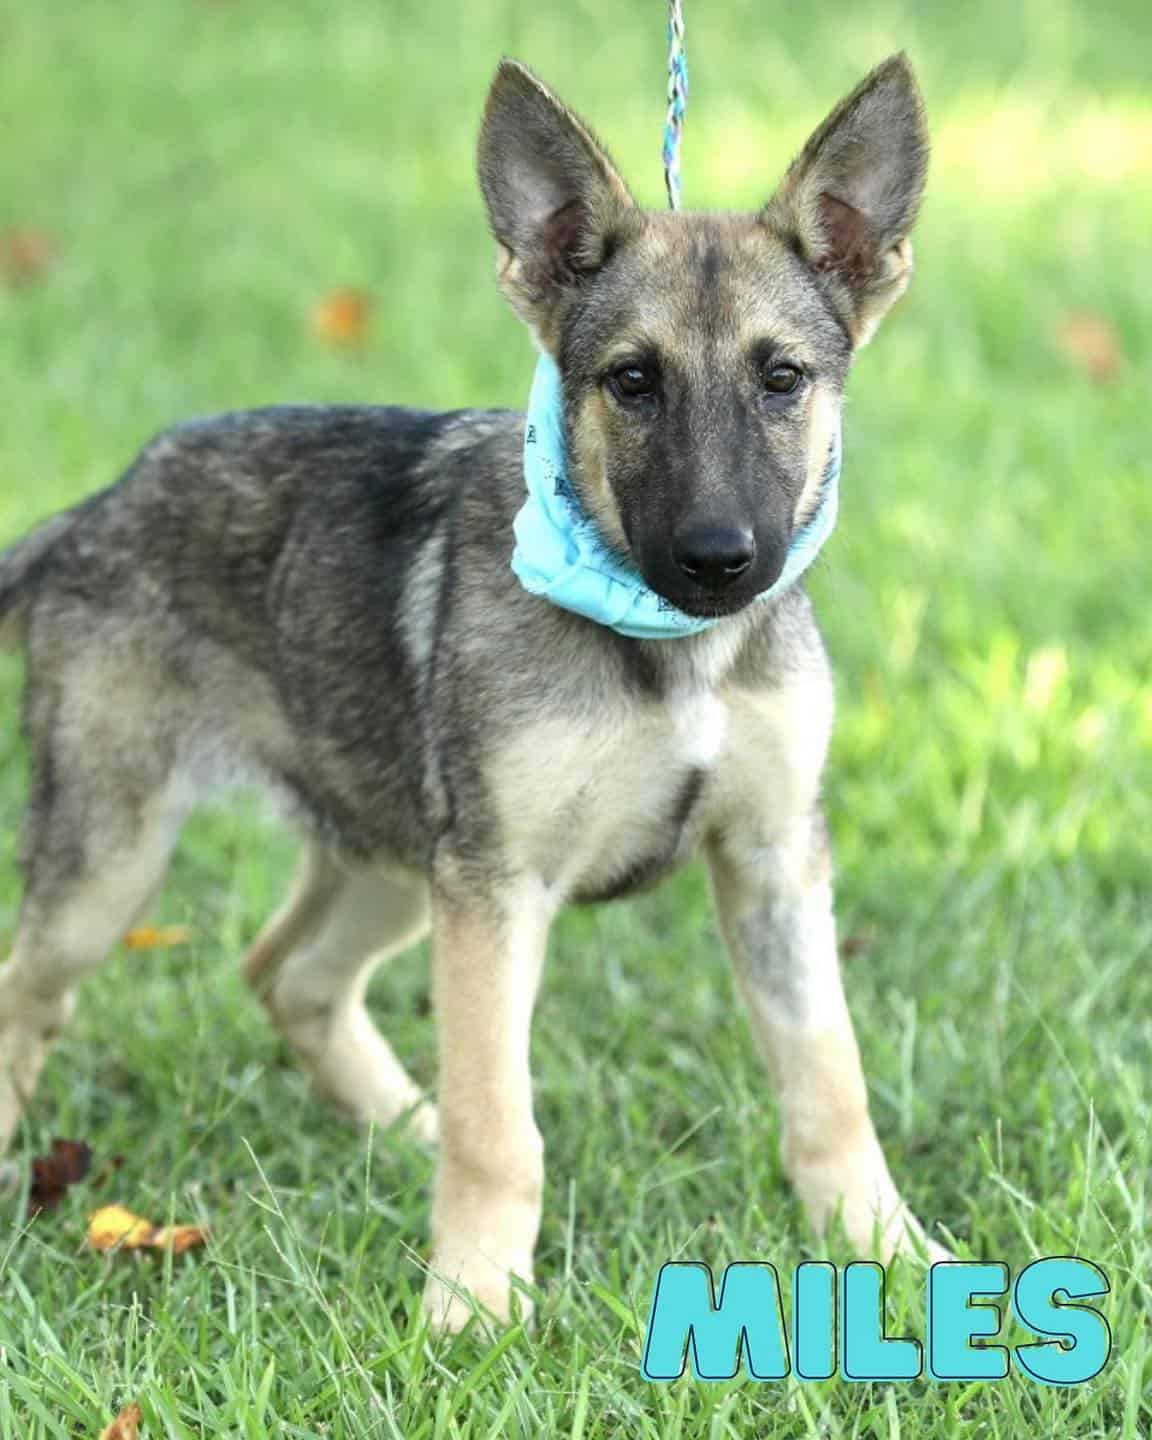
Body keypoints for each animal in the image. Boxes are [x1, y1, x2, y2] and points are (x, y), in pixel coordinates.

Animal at [0, 56, 933, 1324]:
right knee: (29, 993)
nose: (719, 561)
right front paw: (478, 1306)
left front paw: (888, 1250)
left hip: (395, 855)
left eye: (782, 378)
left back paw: (405, 1132)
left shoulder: (774, 856)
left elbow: (829, 1079)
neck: (667, 652)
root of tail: (88, 512)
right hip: (120, 860)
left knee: (287, 975)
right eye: (631, 382)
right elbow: (503, 1123)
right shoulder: (500, 886)